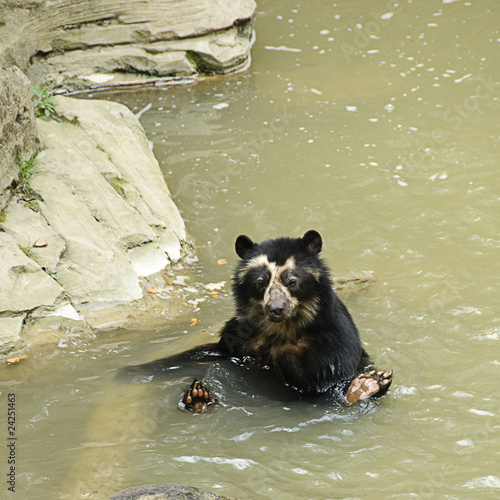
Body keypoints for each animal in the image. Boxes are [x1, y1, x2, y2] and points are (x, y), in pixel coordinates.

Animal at [127, 230, 392, 410]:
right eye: (260, 282)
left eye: (292, 281)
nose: (276, 309)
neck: (283, 329)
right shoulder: (236, 339)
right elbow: (197, 355)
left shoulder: (334, 338)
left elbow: (328, 377)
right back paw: (199, 399)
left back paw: (368, 385)